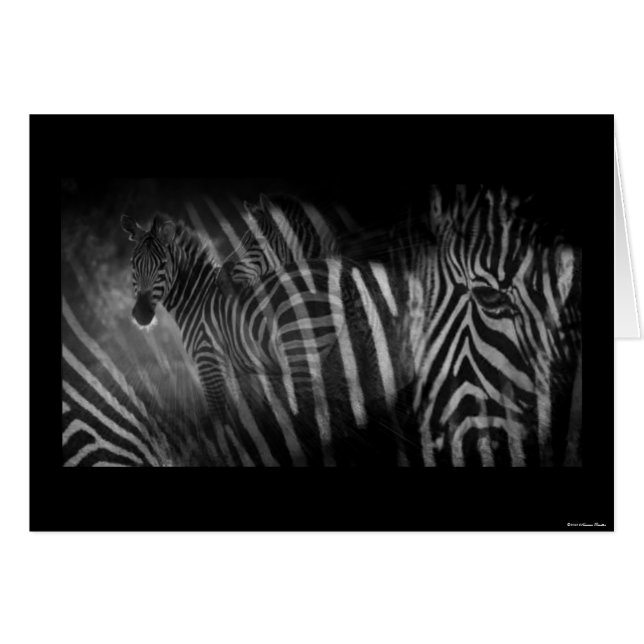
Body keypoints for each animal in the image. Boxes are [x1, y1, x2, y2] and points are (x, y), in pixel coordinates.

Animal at [121, 212, 418, 466]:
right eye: (134, 265)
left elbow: (220, 419)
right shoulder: (240, 367)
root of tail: (340, 274)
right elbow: (247, 417)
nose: (141, 314)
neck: (198, 298)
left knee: (317, 416)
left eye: (162, 265)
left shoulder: (207, 358)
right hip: (354, 347)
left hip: (301, 352)